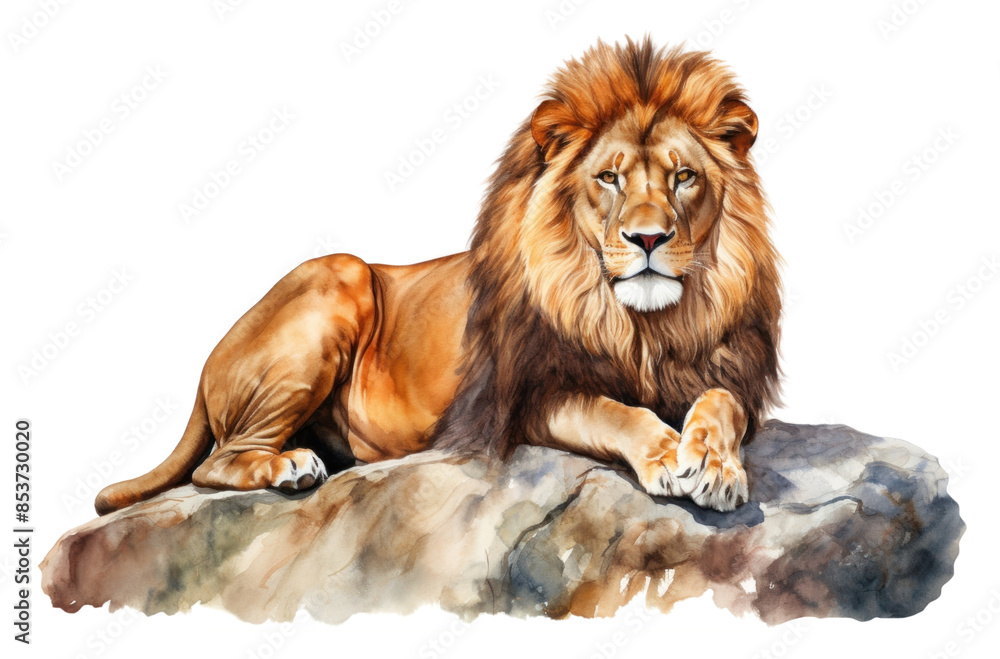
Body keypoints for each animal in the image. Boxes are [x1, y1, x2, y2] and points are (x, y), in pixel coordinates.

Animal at [96, 37, 781, 516]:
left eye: (683, 177)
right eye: (608, 178)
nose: (648, 239)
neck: (640, 324)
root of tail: (208, 361)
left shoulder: (729, 373)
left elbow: (721, 404)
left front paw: (714, 465)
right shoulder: (528, 397)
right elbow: (617, 413)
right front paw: (666, 455)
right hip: (339, 274)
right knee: (215, 464)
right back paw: (290, 467)